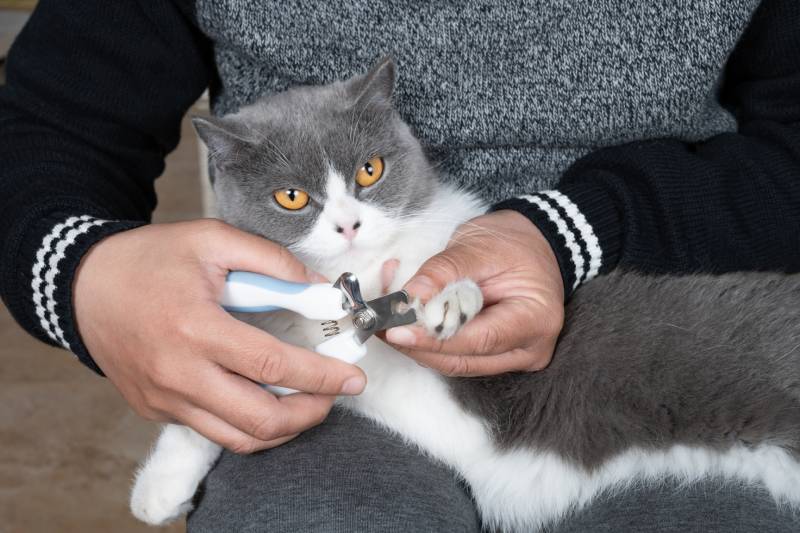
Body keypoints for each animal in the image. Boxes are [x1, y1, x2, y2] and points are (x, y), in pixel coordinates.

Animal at [128, 59, 800, 532]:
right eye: (292, 197)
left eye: (369, 170)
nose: (348, 224)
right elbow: (234, 387)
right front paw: (162, 485)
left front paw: (448, 298)